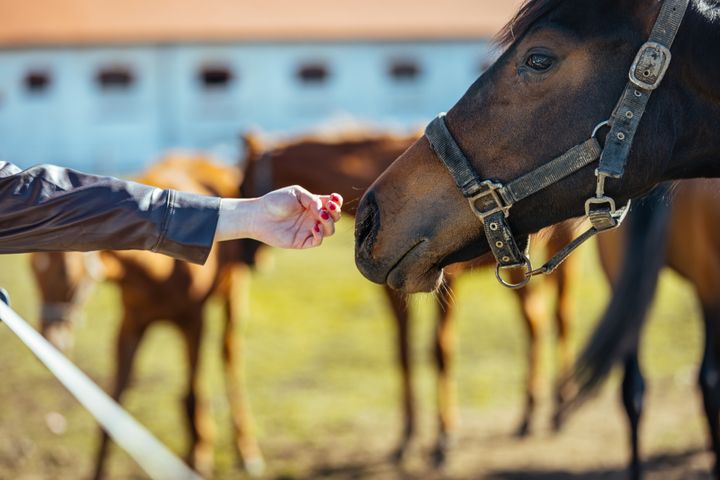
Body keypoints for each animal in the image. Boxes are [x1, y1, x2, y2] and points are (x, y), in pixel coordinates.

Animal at [31, 156, 262, 478]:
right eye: (33, 272)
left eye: (69, 276)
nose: (50, 340)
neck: (160, 270)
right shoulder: (130, 325)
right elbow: (112, 405)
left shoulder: (193, 322)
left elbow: (193, 395)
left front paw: (199, 460)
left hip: (233, 293)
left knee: (229, 356)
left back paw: (245, 450)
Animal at [239, 130, 576, 464]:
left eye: (242, 185)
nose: (246, 260)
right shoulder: (393, 291)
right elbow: (402, 353)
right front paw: (407, 439)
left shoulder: (447, 281)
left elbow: (441, 352)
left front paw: (444, 439)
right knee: (535, 322)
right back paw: (530, 415)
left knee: (558, 320)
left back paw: (558, 409)